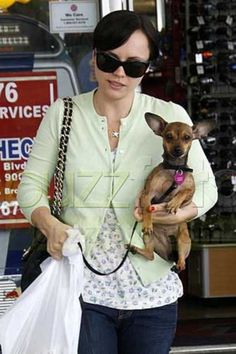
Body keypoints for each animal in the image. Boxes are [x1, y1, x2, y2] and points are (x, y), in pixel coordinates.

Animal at [131, 113, 214, 272]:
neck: (175, 169)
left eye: (187, 137)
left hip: (183, 240)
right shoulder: (148, 194)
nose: (177, 150)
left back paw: (179, 264)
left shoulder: (190, 193)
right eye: (168, 136)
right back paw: (136, 249)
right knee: (150, 255)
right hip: (149, 238)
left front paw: (174, 203)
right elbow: (147, 208)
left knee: (181, 259)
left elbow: (183, 192)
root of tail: (169, 240)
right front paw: (148, 223)